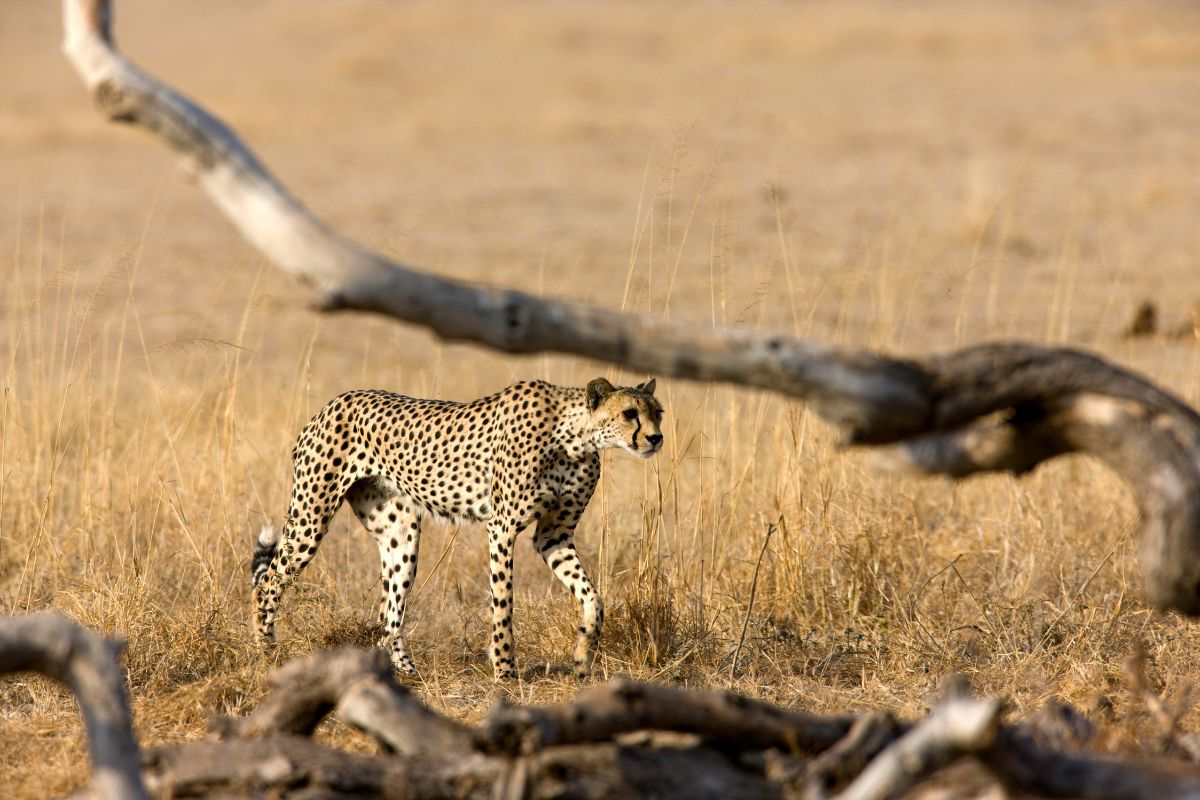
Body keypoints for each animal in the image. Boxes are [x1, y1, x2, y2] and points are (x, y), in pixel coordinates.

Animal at [251, 376, 664, 680]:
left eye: (657, 413)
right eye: (630, 413)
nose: (656, 438)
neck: (574, 437)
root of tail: (333, 402)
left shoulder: (554, 536)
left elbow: (594, 598)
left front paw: (582, 656)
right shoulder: (502, 527)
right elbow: (503, 603)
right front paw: (504, 669)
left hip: (401, 533)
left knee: (389, 611)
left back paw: (404, 671)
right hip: (310, 517)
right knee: (267, 583)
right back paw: (266, 652)